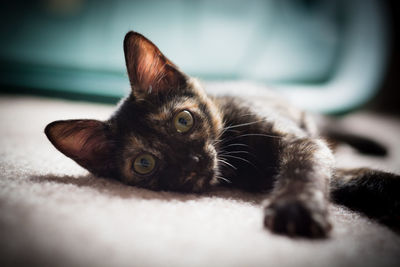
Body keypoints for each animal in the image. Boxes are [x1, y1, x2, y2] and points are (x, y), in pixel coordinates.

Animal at [44, 30, 400, 239]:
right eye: (144, 164)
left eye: (183, 121)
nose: (192, 161)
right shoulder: (335, 172)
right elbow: (361, 180)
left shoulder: (301, 141)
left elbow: (304, 168)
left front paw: (295, 206)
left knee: (332, 125)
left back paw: (375, 144)